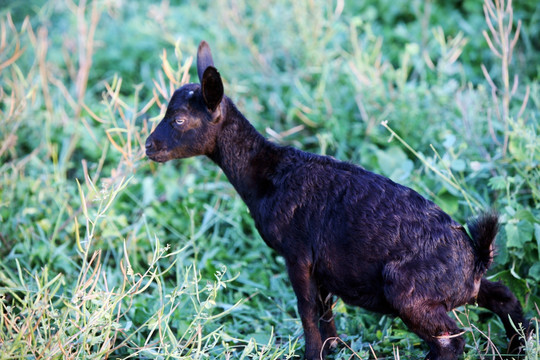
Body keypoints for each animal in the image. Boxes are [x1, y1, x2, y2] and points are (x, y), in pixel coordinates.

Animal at [143, 40, 528, 358]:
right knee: (503, 297)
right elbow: (324, 310)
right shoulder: (322, 264)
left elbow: (307, 309)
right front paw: (334, 347)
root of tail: (475, 259)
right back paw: (518, 347)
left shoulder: (297, 253)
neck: (268, 174)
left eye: (179, 120)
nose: (148, 146)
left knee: (450, 339)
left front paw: (313, 354)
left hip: (408, 291)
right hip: (457, 289)